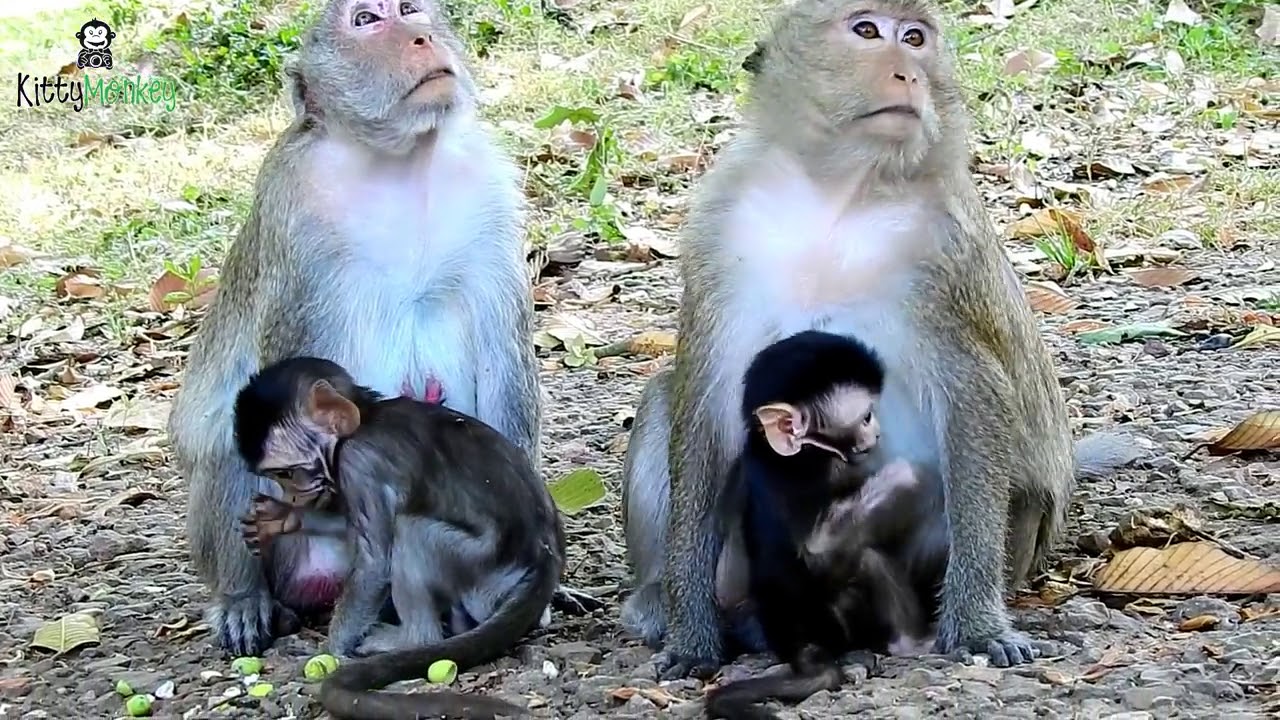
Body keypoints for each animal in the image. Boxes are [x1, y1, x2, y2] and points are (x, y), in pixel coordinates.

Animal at [166, 0, 597, 657]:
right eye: (367, 20)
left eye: (410, 9)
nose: (419, 36)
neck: (403, 161)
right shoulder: (294, 208)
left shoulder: (489, 193)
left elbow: (502, 358)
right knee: (219, 435)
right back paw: (245, 598)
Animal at [234, 356, 561, 719]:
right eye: (278, 477)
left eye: (286, 473)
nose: (292, 497)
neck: (366, 419)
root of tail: (545, 558)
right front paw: (284, 518)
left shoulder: (360, 462)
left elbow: (375, 561)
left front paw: (330, 652)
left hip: (482, 570)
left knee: (410, 530)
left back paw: (413, 640)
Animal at [619, 0, 1145, 679]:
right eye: (867, 30)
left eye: (915, 38)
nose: (908, 73)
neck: (837, 194)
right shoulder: (719, 230)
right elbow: (704, 403)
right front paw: (691, 635)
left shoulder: (944, 251)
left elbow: (976, 400)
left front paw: (978, 625)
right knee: (663, 394)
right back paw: (671, 602)